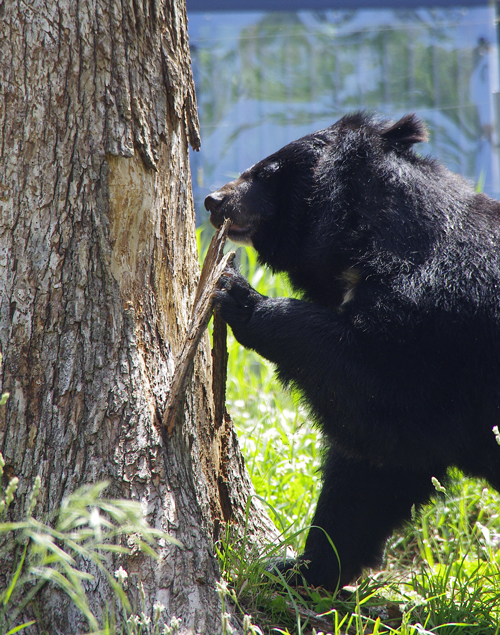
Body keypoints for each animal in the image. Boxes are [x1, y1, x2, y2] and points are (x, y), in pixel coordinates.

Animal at [205, 113, 500, 592]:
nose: (214, 201)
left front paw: (236, 293)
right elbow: (374, 472)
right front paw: (300, 570)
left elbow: (375, 395)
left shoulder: (437, 330)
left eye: (266, 171)